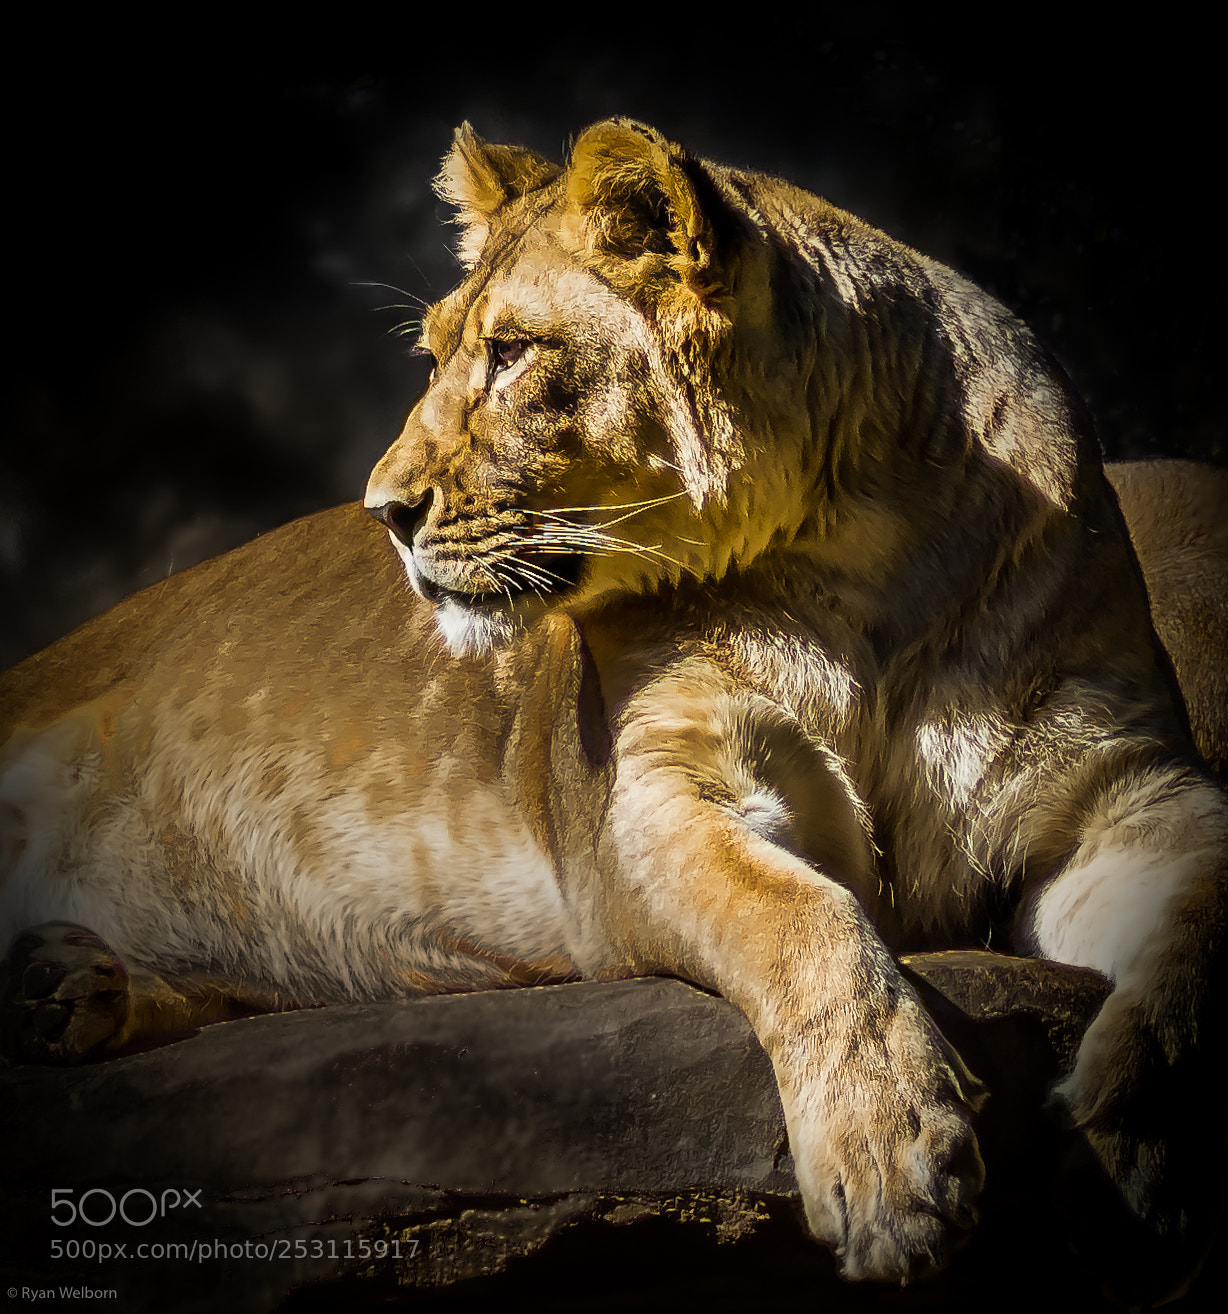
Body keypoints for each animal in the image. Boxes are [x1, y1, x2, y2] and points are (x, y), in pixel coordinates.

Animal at [2, 120, 1226, 1303]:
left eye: (512, 353)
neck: (861, 556)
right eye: (436, 354)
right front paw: (892, 1155)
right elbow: (803, 917)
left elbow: (1191, 957)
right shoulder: (641, 808)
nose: (383, 512)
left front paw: (1125, 1180)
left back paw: (68, 988)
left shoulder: (1121, 790)